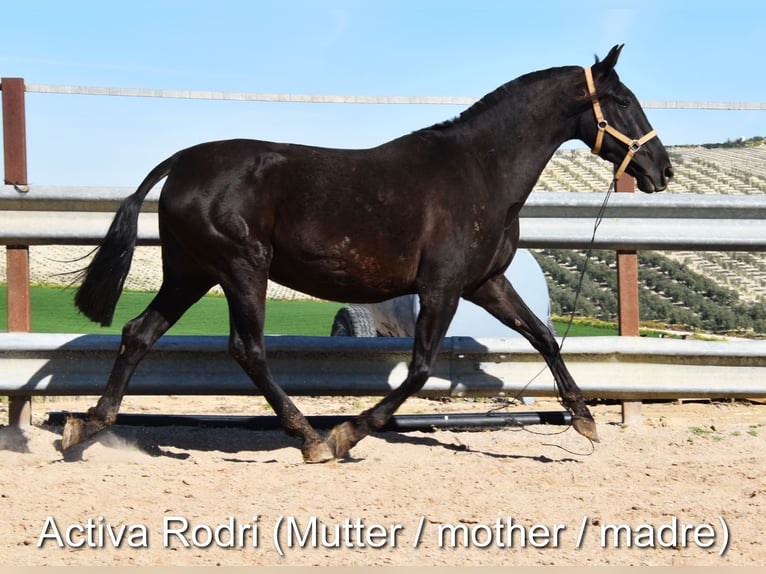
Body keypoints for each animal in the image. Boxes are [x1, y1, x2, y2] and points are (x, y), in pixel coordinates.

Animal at [62, 45, 673, 462]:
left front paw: (584, 419)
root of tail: (183, 162)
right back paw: (310, 437)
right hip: (241, 268)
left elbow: (543, 336)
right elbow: (420, 368)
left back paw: (86, 426)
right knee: (247, 350)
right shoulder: (441, 288)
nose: (661, 170)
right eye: (622, 100)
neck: (479, 173)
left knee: (139, 333)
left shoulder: (486, 283)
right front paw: (348, 432)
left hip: (192, 272)